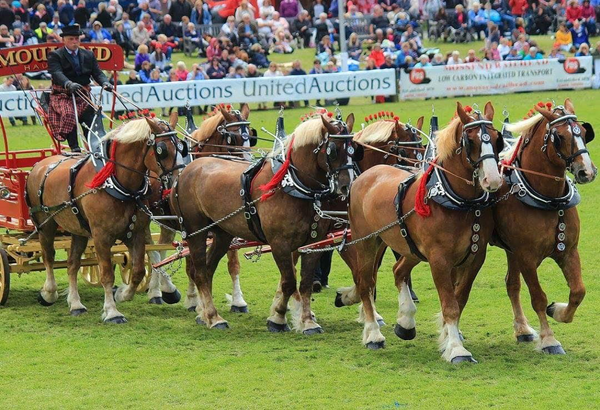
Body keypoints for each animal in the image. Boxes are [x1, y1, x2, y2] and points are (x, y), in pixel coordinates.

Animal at [26, 117, 185, 322]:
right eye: (162, 149)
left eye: (181, 147)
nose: (178, 180)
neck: (119, 185)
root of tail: (39, 164)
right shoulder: (101, 237)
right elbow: (107, 275)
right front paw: (112, 312)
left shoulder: (136, 232)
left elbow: (138, 270)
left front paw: (123, 294)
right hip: (45, 225)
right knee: (49, 257)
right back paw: (49, 292)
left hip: (78, 230)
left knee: (72, 264)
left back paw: (76, 304)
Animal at [171, 113, 354, 334]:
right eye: (333, 150)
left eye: (354, 149)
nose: (346, 186)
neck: (292, 185)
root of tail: (186, 171)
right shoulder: (279, 244)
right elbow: (289, 282)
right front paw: (278, 319)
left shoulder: (313, 244)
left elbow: (305, 283)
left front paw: (308, 322)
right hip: (196, 231)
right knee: (198, 273)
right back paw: (214, 317)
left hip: (222, 234)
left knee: (207, 270)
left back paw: (204, 314)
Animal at [344, 102, 504, 362]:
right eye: (470, 141)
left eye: (497, 139)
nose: (493, 180)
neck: (458, 202)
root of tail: (365, 176)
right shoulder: (439, 259)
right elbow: (450, 304)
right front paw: (457, 350)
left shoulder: (473, 258)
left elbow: (459, 301)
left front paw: (450, 339)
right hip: (367, 241)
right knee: (365, 282)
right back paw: (373, 333)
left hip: (409, 248)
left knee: (398, 270)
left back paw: (405, 322)